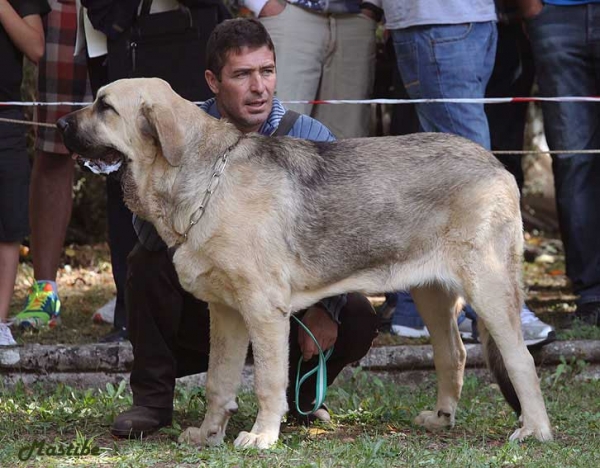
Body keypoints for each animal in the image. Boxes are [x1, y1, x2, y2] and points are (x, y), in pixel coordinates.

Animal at [57, 78, 552, 448]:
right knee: (454, 354)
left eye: (105, 107)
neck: (208, 180)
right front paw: (208, 433)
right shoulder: (227, 314)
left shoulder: (263, 311)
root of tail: (498, 165)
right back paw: (442, 417)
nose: (59, 122)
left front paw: (261, 436)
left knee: (520, 360)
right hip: (432, 293)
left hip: (489, 288)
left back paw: (534, 430)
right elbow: (219, 381)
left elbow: (267, 381)